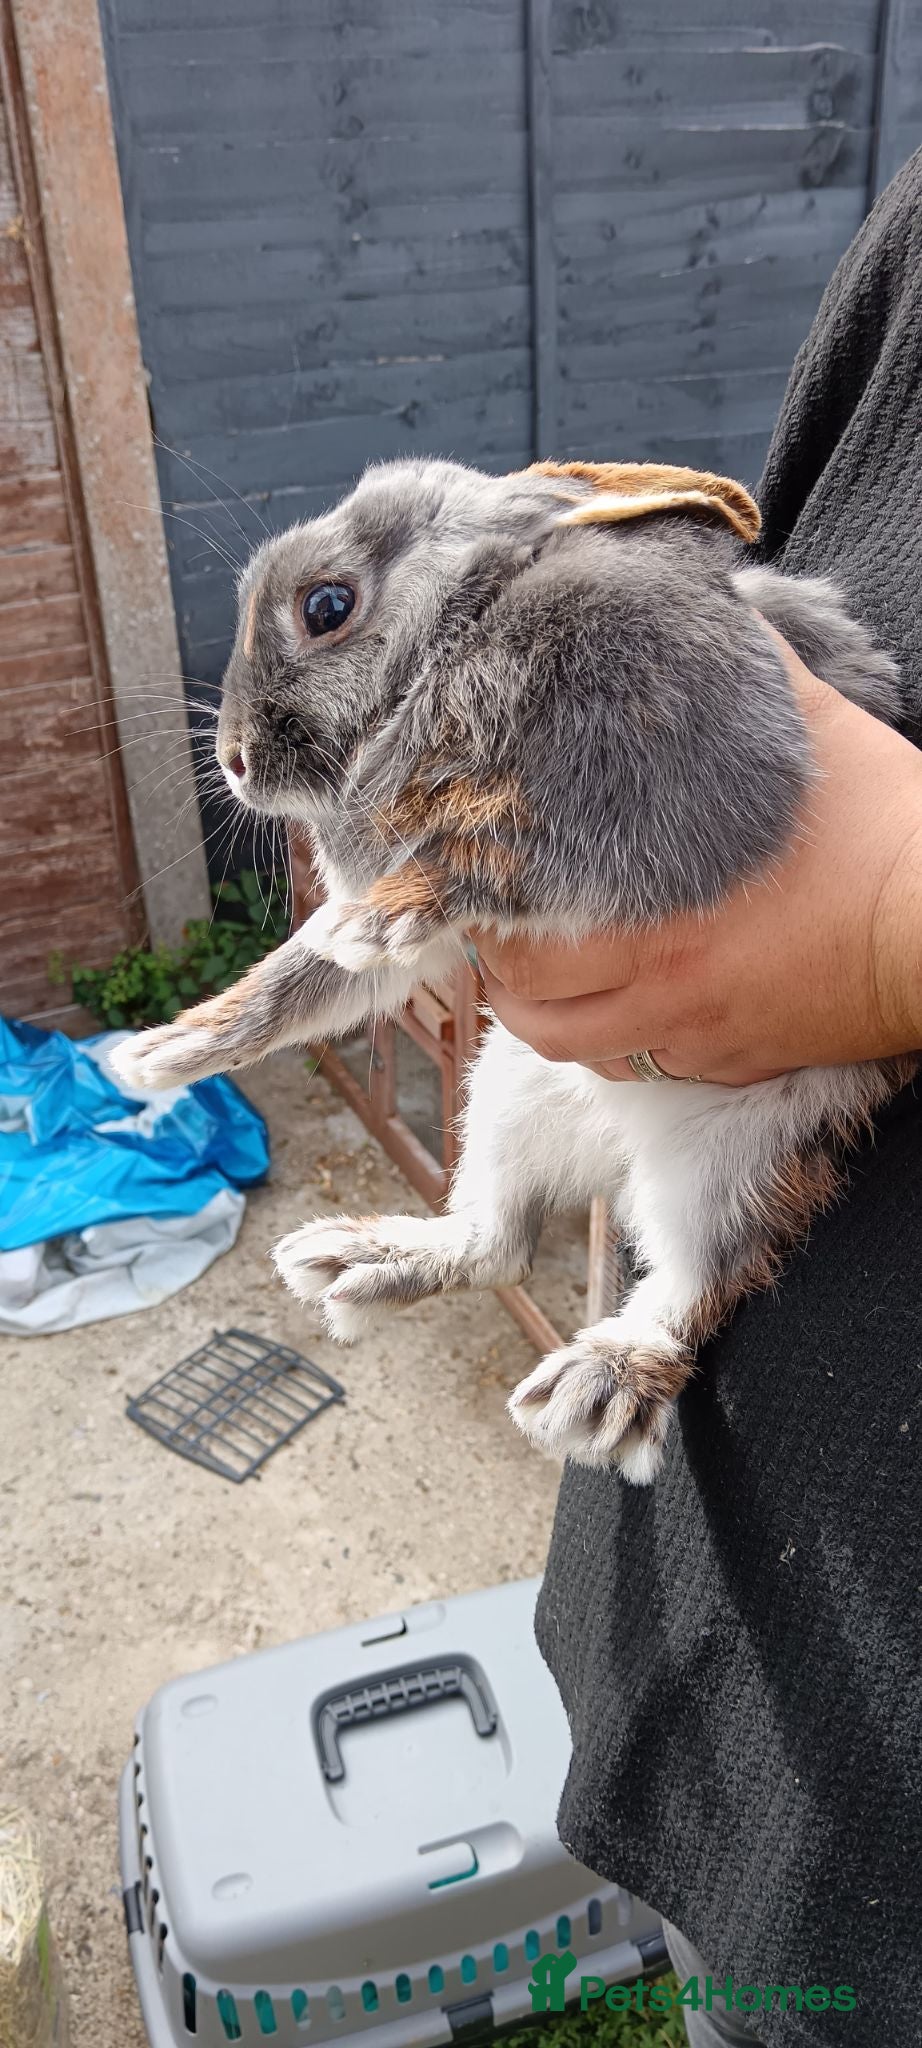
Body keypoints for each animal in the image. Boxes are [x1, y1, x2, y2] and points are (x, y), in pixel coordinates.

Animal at [110, 456, 914, 1483]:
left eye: (326, 605)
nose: (236, 761)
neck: (455, 635)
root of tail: (614, 1144)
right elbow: (304, 980)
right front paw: (156, 1058)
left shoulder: (669, 761)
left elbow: (511, 848)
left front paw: (390, 908)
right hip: (509, 1089)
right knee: (500, 1245)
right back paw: (364, 1260)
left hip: (744, 1153)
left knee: (699, 1279)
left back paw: (600, 1385)